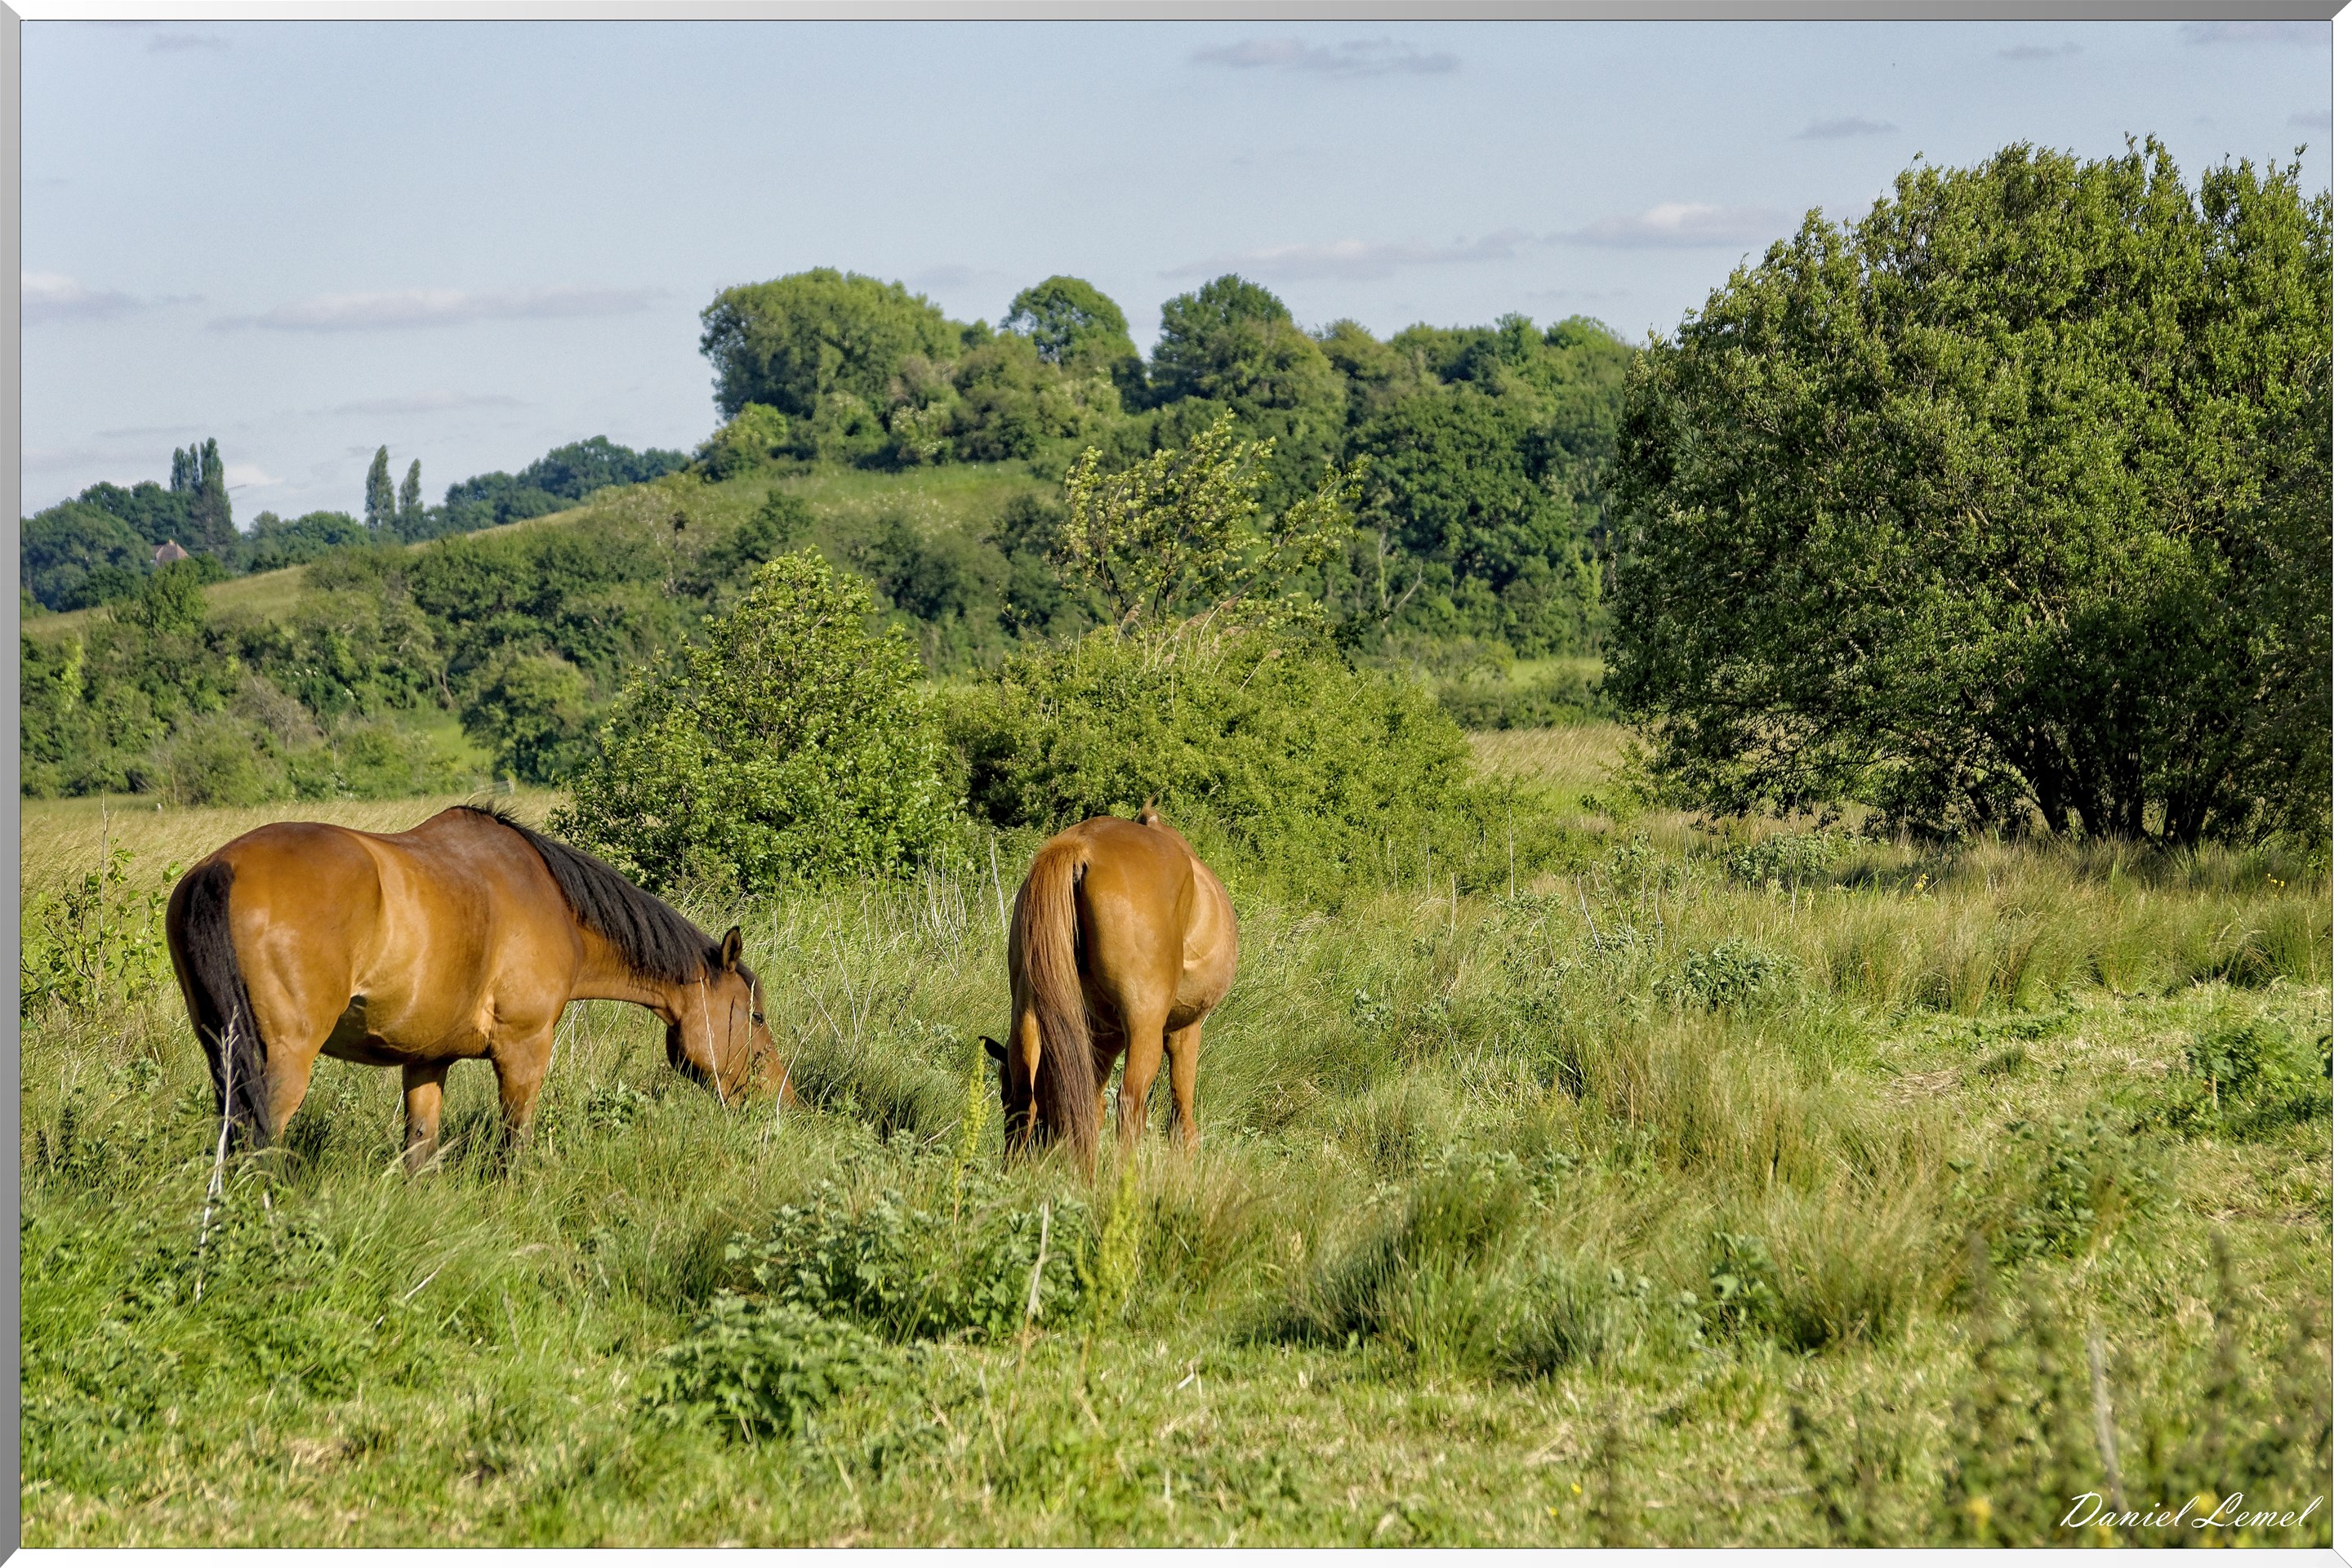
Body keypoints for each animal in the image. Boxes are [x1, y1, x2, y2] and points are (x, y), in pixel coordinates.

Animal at [165, 803, 785, 1171]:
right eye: (754, 1016)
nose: (783, 1102)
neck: (552, 902)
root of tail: (222, 868)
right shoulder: (524, 1051)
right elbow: (515, 1145)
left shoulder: (425, 1061)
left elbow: (420, 1151)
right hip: (284, 1064)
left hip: (224, 1054)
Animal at [982, 807, 1238, 1163]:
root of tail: (1081, 847)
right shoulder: (1184, 1030)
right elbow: (1181, 1116)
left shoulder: (1101, 1037)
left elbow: (1089, 1106)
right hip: (1145, 1024)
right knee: (1130, 1104)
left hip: (1028, 1011)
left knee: (1028, 1098)